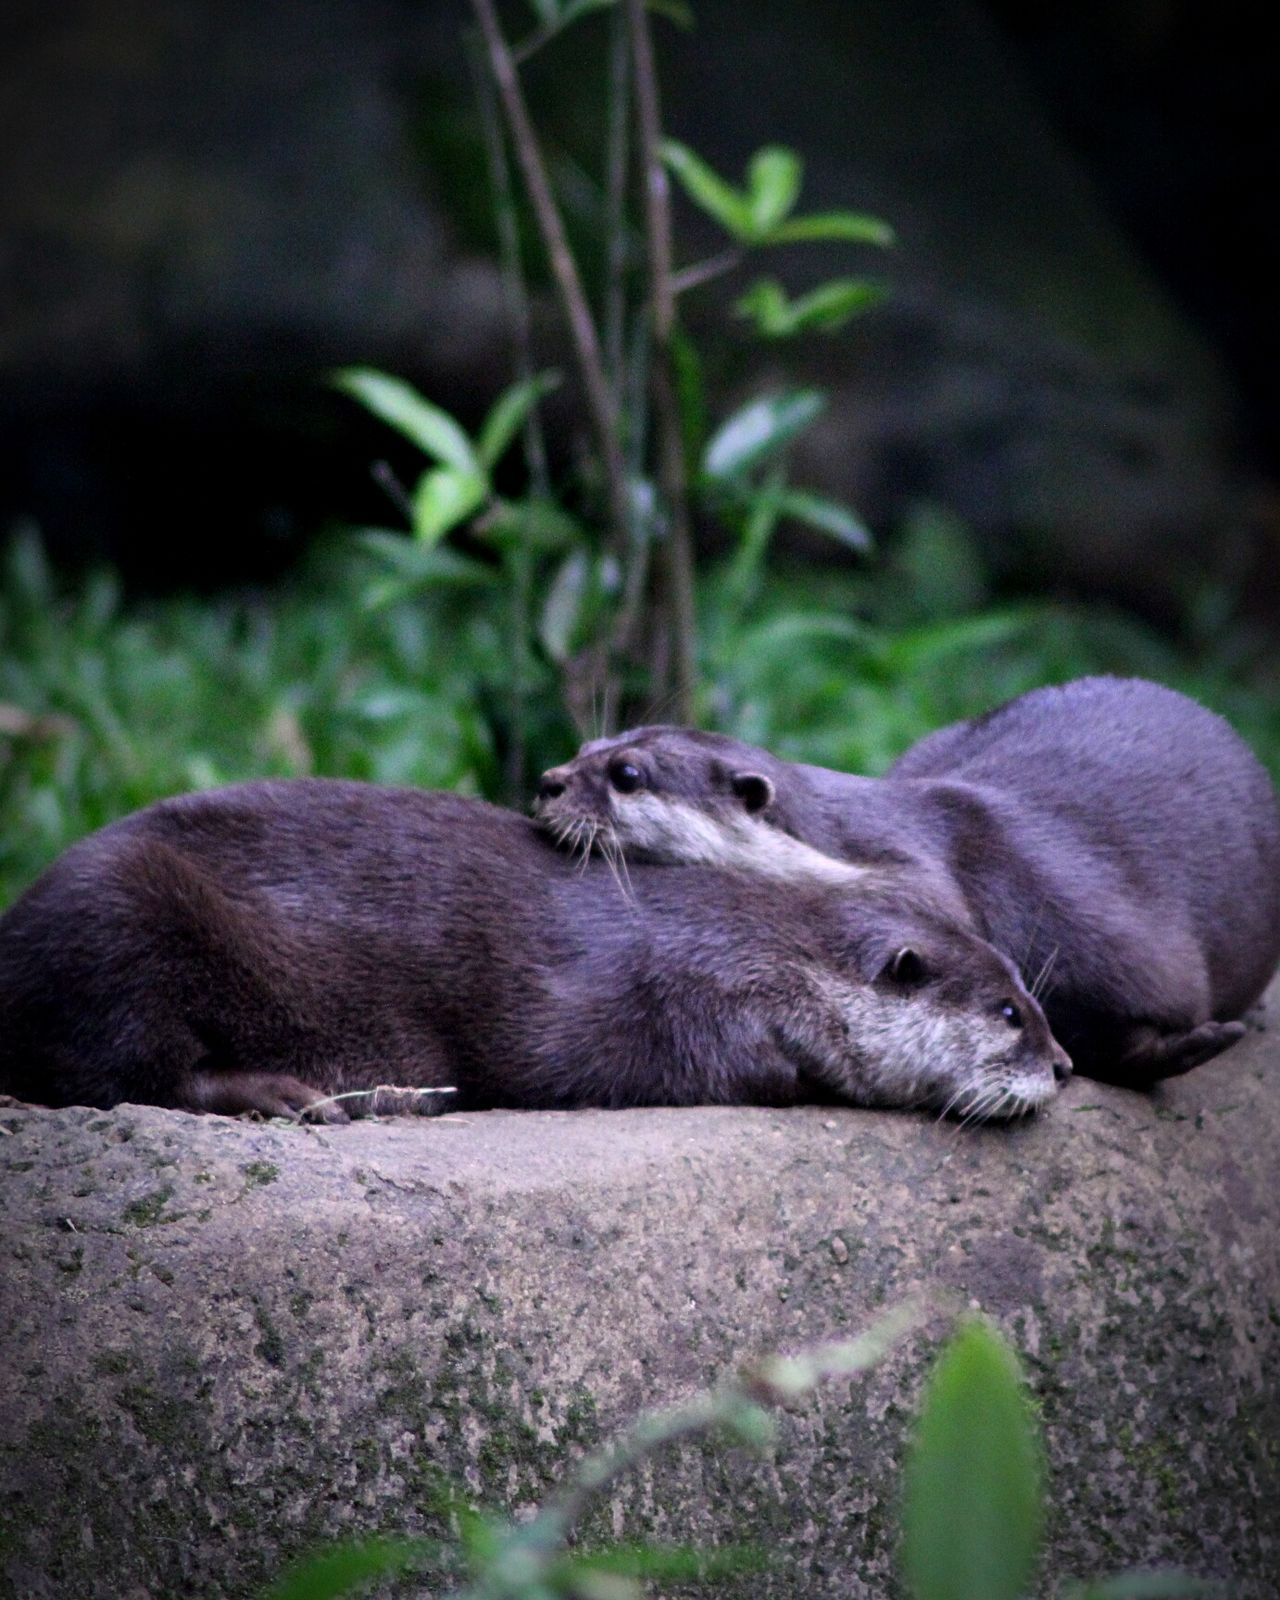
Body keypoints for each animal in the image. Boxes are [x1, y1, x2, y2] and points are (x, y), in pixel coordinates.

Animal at [0, 780, 1062, 1120]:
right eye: (1009, 1013)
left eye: (1034, 997)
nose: (1061, 1064)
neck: (756, 949)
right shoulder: (638, 998)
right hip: (122, 908)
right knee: (123, 1071)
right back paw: (311, 1096)